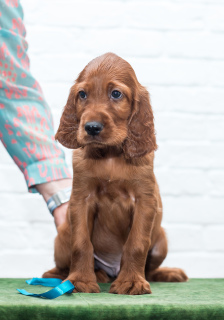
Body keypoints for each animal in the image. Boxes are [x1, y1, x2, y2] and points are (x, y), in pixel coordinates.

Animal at [43, 53, 188, 296]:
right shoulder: (81, 199)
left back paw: (166, 273)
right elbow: (81, 244)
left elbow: (136, 244)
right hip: (62, 234)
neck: (110, 155)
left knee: (150, 268)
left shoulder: (145, 200)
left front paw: (132, 282)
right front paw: (80, 280)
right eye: (82, 94)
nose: (91, 127)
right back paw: (66, 275)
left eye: (116, 94)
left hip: (161, 240)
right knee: (61, 264)